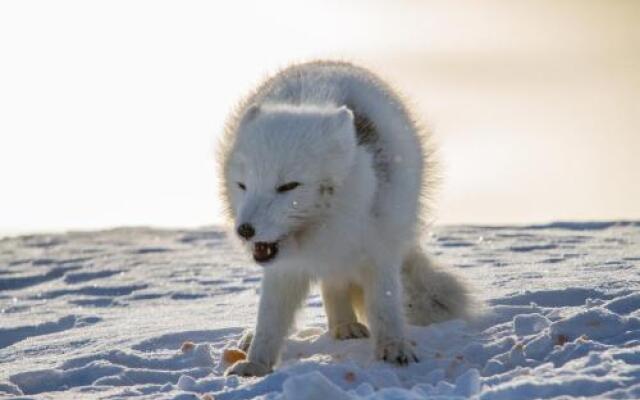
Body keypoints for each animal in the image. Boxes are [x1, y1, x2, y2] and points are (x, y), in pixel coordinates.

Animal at [218, 61, 468, 376]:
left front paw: (394, 348)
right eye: (243, 185)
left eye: (288, 186)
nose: (245, 230)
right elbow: (269, 319)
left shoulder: (380, 247)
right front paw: (255, 365)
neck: (323, 231)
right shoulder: (283, 268)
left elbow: (384, 304)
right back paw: (341, 325)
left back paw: (346, 326)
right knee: (332, 282)